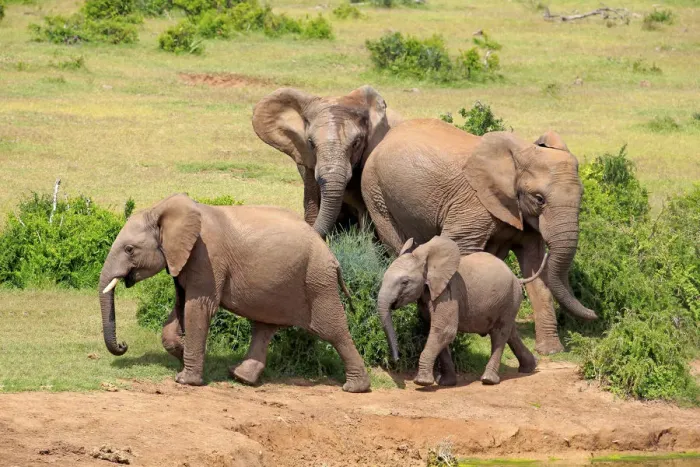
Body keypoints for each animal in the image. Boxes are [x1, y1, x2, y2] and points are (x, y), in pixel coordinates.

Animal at [98, 194, 370, 392]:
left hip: (317, 280)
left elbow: (198, 307)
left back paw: (355, 388)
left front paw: (185, 380)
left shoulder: (207, 257)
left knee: (332, 330)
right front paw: (182, 352)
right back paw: (240, 377)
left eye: (130, 249)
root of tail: (332, 257)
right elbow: (180, 305)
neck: (162, 211)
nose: (123, 344)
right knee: (264, 326)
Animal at [362, 119, 597, 361]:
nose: (594, 313)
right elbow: (462, 249)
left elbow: (534, 267)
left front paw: (550, 350)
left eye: (582, 196)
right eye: (539, 199)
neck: (518, 157)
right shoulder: (473, 205)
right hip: (375, 192)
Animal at [378, 236, 545, 386]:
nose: (397, 359)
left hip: (510, 297)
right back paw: (530, 368)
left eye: (405, 282)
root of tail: (517, 278)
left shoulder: (448, 292)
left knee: (500, 334)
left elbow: (444, 330)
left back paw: (489, 380)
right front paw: (446, 383)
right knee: (511, 332)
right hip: (508, 302)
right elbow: (437, 330)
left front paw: (422, 382)